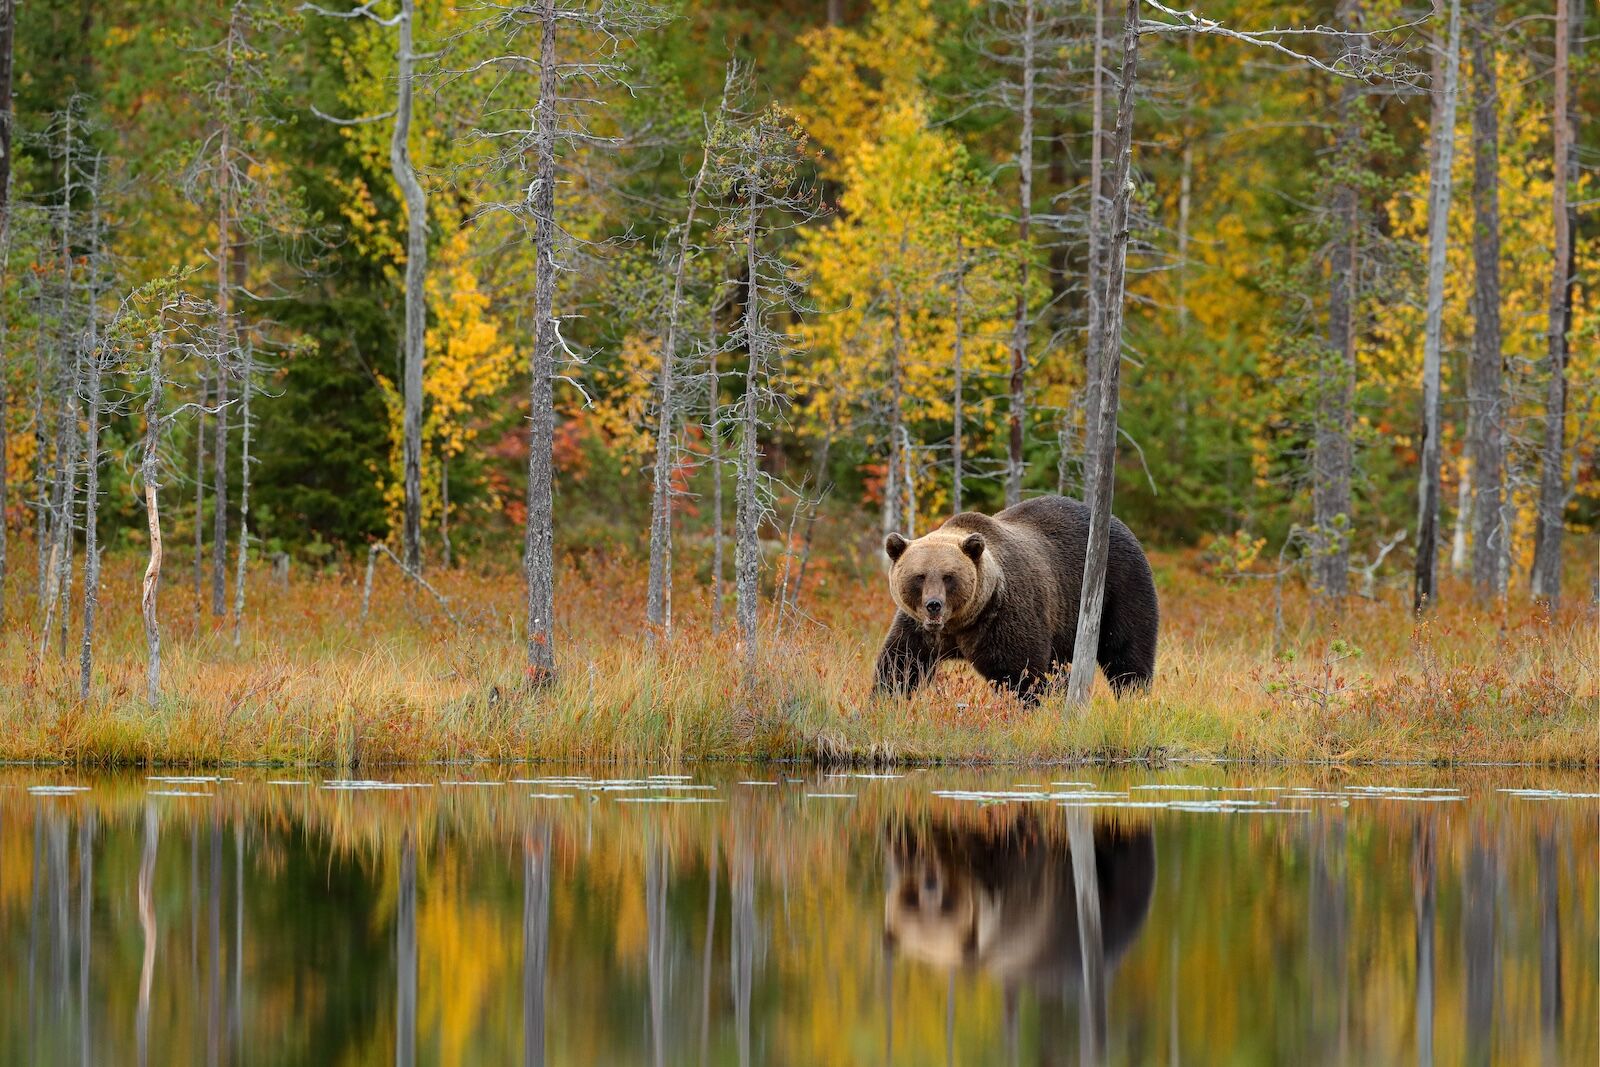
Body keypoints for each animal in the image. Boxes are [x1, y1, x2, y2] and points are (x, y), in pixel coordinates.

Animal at [873, 495, 1158, 702]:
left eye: (948, 576)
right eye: (919, 576)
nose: (934, 605)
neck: (960, 623)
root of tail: (1118, 523)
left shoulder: (1003, 616)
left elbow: (1018, 672)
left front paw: (1027, 705)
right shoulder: (919, 627)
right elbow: (900, 663)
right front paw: (885, 700)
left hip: (1120, 585)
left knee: (1127, 650)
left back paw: (1133, 695)